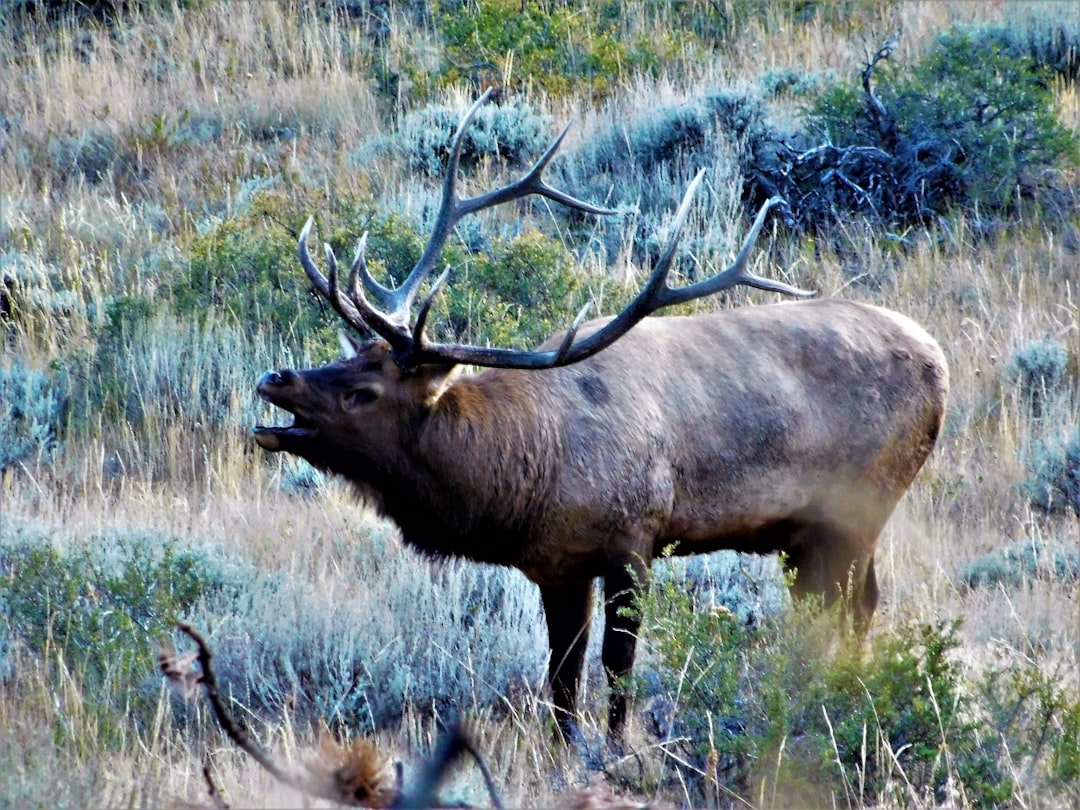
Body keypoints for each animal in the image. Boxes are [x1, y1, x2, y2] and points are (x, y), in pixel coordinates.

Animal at [253, 89, 949, 745]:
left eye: (365, 391)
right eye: (348, 355)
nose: (274, 378)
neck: (527, 472)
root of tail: (939, 359)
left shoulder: (634, 538)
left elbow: (618, 667)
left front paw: (615, 749)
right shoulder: (555, 564)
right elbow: (561, 675)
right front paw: (565, 750)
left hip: (862, 504)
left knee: (851, 607)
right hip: (809, 533)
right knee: (846, 606)